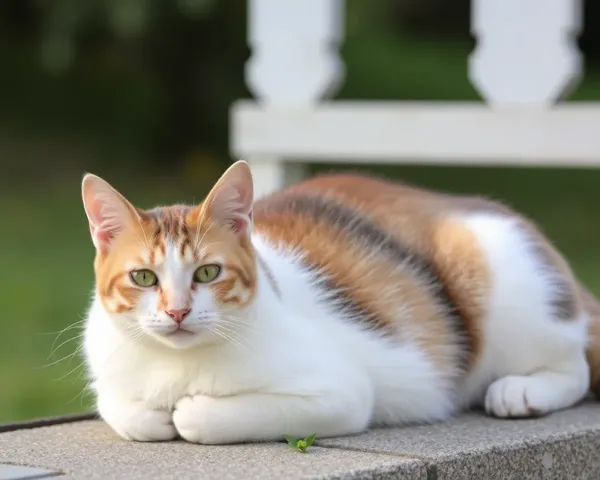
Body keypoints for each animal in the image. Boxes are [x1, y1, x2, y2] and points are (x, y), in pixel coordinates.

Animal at [81, 159, 600, 444]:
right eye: (143, 277)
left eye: (207, 272)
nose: (177, 311)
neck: (175, 367)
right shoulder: (111, 380)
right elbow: (124, 409)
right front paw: (151, 413)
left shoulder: (340, 393)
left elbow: (197, 416)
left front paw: (186, 411)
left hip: (502, 279)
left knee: (574, 364)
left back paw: (520, 392)